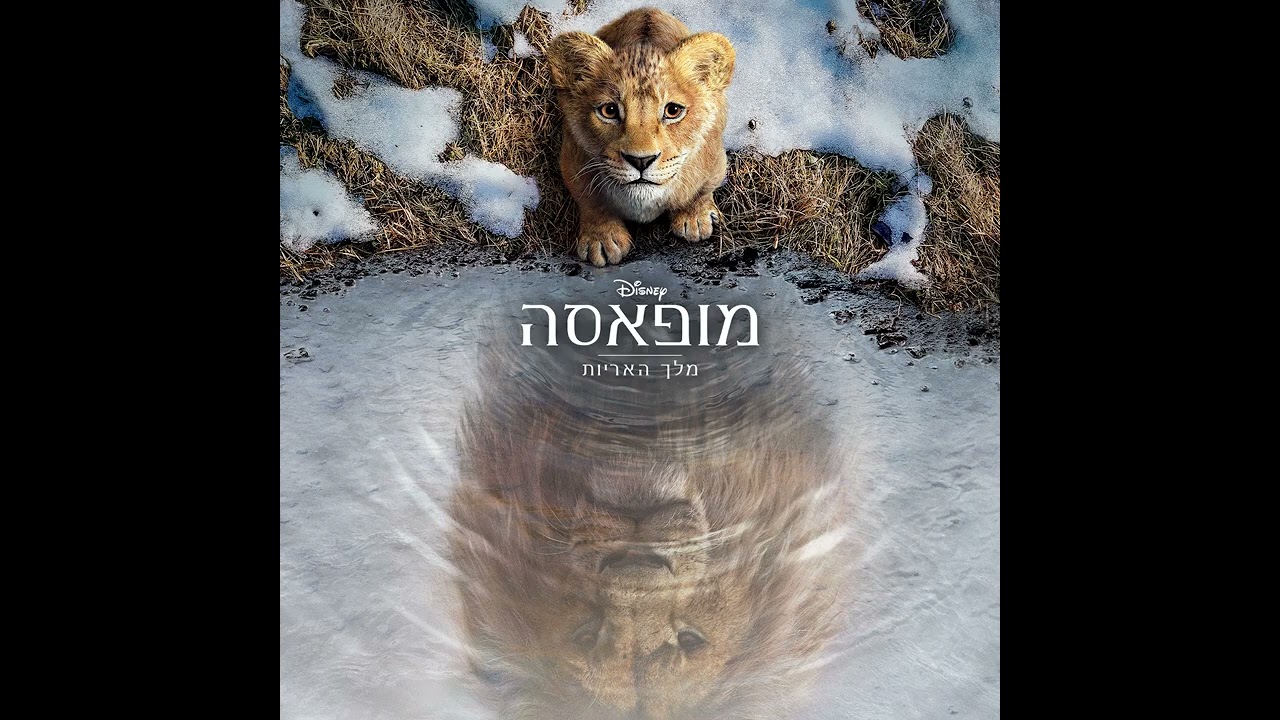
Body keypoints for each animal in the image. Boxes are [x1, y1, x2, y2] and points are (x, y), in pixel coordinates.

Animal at [546, 8, 735, 267]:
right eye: (609, 111)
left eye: (673, 110)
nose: (641, 161)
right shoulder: (572, 159)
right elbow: (590, 200)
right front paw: (601, 239)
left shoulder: (715, 159)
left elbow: (701, 190)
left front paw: (695, 218)